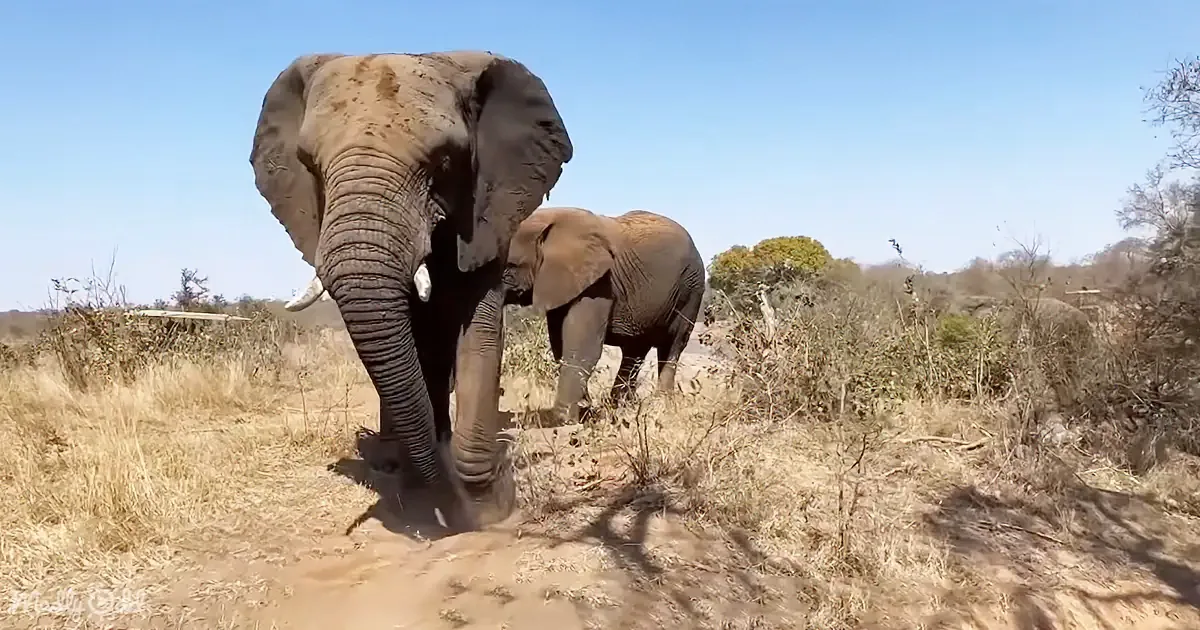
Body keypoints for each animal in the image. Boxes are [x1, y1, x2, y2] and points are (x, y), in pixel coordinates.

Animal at [249, 51, 572, 533]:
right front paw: (427, 499)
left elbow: (479, 333)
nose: (453, 507)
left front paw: (490, 510)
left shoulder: (485, 214)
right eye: (309, 163)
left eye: (443, 162)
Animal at [502, 206, 706, 423]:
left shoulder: (599, 284)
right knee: (635, 351)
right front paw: (584, 412)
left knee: (672, 346)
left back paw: (660, 406)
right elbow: (561, 346)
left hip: (691, 289)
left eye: (508, 267)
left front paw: (565, 420)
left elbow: (582, 347)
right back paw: (620, 407)